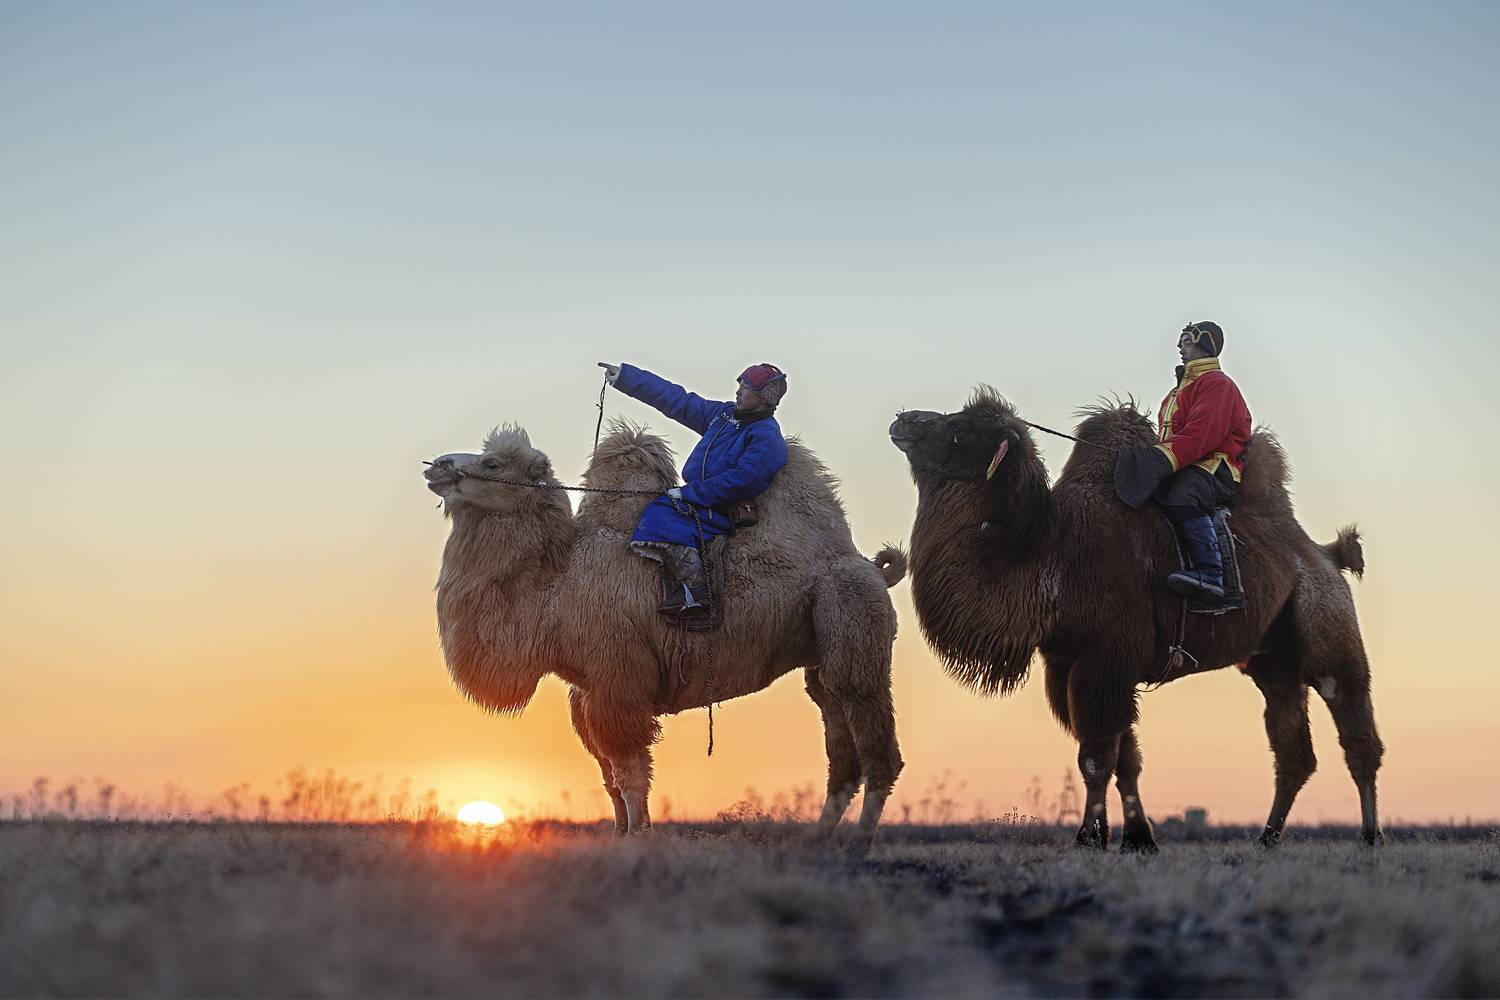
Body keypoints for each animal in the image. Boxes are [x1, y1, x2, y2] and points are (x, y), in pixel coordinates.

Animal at [424, 420, 907, 843]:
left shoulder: (618, 680)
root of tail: (871, 568)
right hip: (820, 658)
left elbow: (630, 770)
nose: (437, 466)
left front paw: (639, 834)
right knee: (840, 749)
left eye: (491, 463)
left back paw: (858, 843)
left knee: (876, 744)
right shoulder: (586, 693)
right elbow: (608, 775)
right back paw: (819, 840)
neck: (556, 583)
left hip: (853, 618)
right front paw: (619, 833)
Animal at [889, 389, 1384, 850]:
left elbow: (1095, 758)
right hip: (1273, 661)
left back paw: (1371, 836)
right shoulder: (1071, 665)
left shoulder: (1106, 659)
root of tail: (1326, 554)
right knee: (1293, 751)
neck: (1048, 557)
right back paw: (1267, 837)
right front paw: (1138, 838)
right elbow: (1124, 760)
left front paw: (1089, 838)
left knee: (1356, 730)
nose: (903, 419)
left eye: (961, 428)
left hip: (1328, 626)